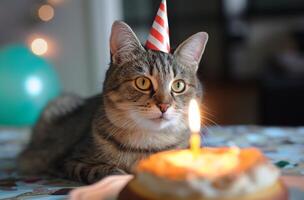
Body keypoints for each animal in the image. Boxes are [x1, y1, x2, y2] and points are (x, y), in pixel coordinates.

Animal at [17, 21, 208, 184]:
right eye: (143, 82)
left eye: (178, 85)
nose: (164, 106)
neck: (149, 143)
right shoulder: (71, 161)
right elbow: (105, 171)